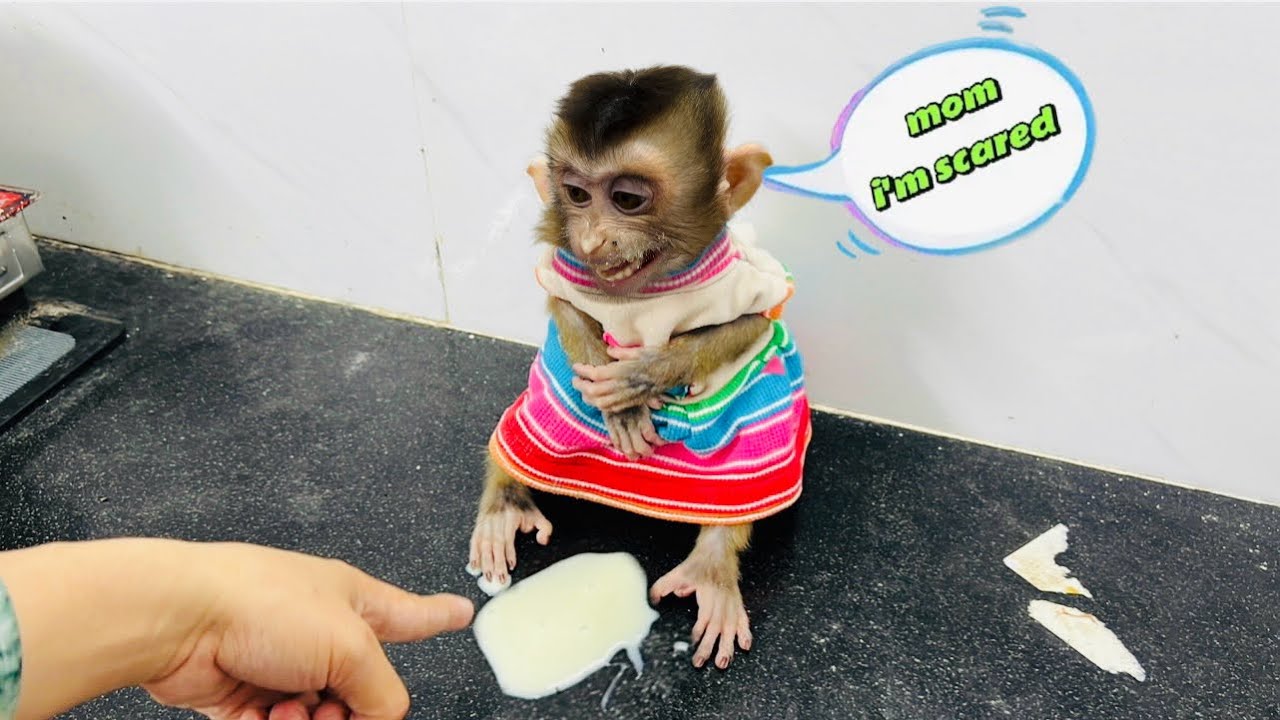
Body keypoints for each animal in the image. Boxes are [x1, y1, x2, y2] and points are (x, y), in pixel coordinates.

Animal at [469, 65, 811, 671]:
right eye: (576, 195)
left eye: (627, 198)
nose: (591, 239)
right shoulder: (565, 267)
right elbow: (564, 303)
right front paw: (620, 407)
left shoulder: (748, 279)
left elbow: (755, 323)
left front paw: (640, 378)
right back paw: (506, 500)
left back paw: (713, 565)